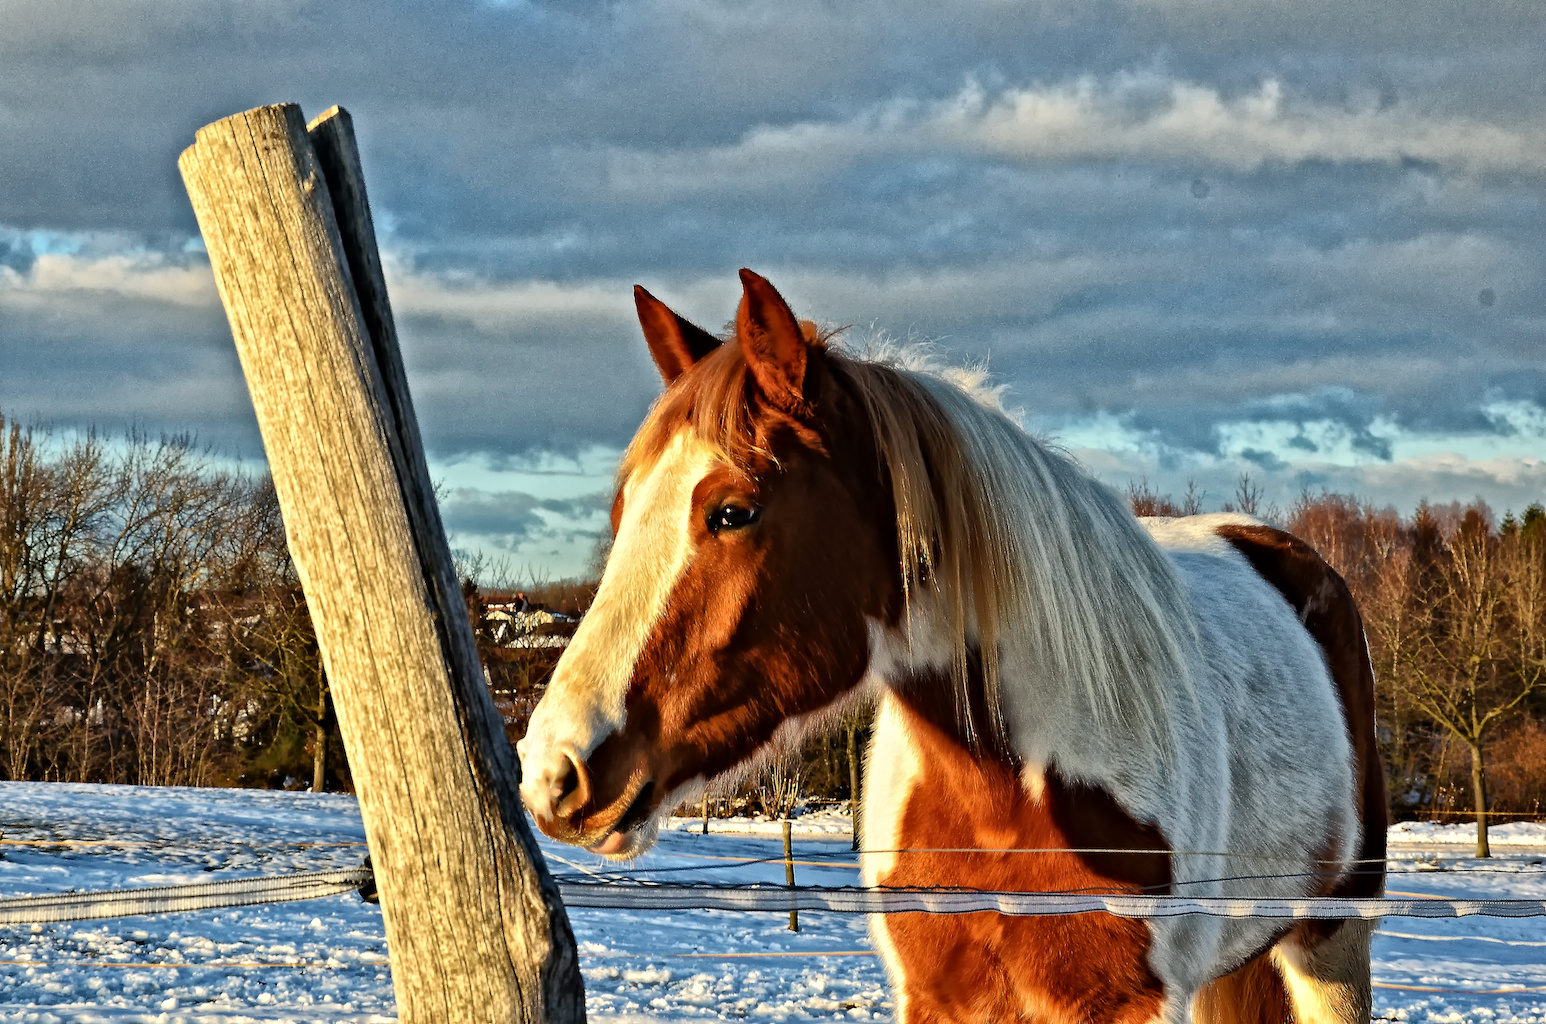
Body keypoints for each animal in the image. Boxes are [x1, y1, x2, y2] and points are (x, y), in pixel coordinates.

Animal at [519, 270, 1391, 1024]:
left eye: (734, 511)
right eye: (623, 510)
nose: (555, 771)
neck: (1005, 796)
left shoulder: (1129, 1004)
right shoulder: (939, 997)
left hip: (1331, 942)